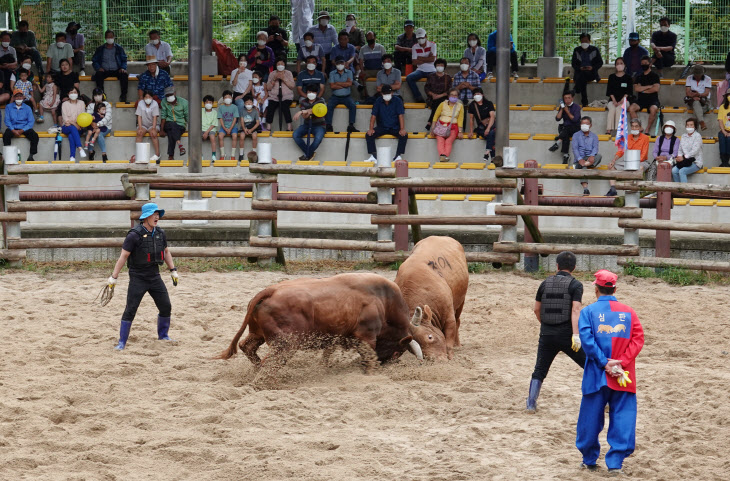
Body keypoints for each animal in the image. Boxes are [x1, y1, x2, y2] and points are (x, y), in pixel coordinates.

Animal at [215, 274, 420, 382]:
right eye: (397, 352)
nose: (387, 366)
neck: (383, 300)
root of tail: (271, 290)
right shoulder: (366, 336)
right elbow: (370, 356)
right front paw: (371, 372)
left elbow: (327, 354)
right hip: (285, 345)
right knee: (269, 363)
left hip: (257, 334)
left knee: (247, 347)